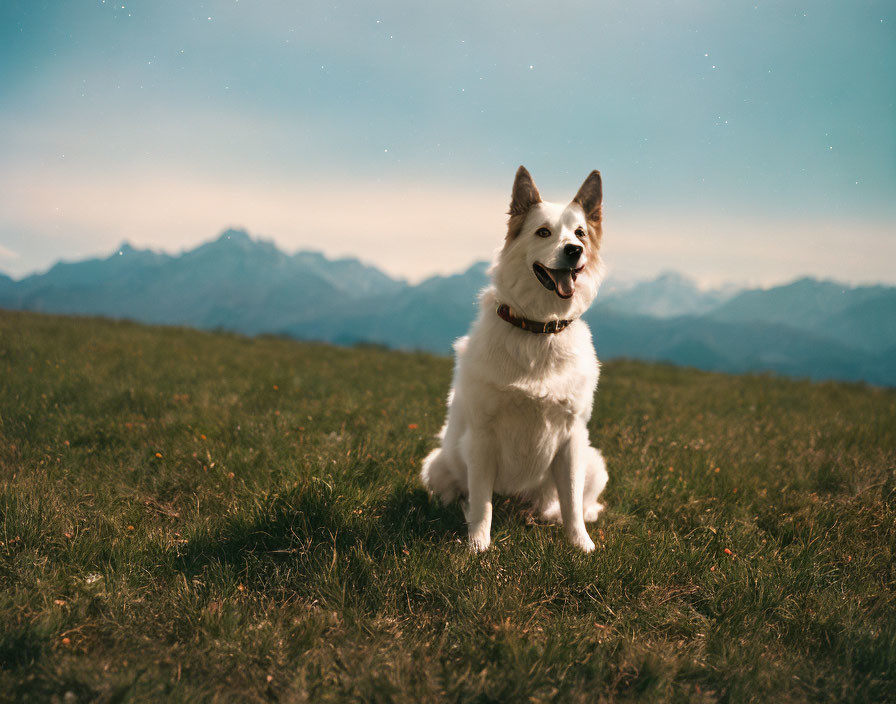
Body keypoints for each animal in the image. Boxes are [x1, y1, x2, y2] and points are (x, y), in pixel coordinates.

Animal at [422, 165, 608, 552]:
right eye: (543, 232)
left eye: (580, 232)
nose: (574, 250)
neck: (538, 329)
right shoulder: (482, 435)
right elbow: (482, 502)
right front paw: (478, 545)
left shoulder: (572, 439)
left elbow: (571, 502)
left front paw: (581, 545)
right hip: (437, 462)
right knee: (458, 493)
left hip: (594, 460)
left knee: (569, 503)